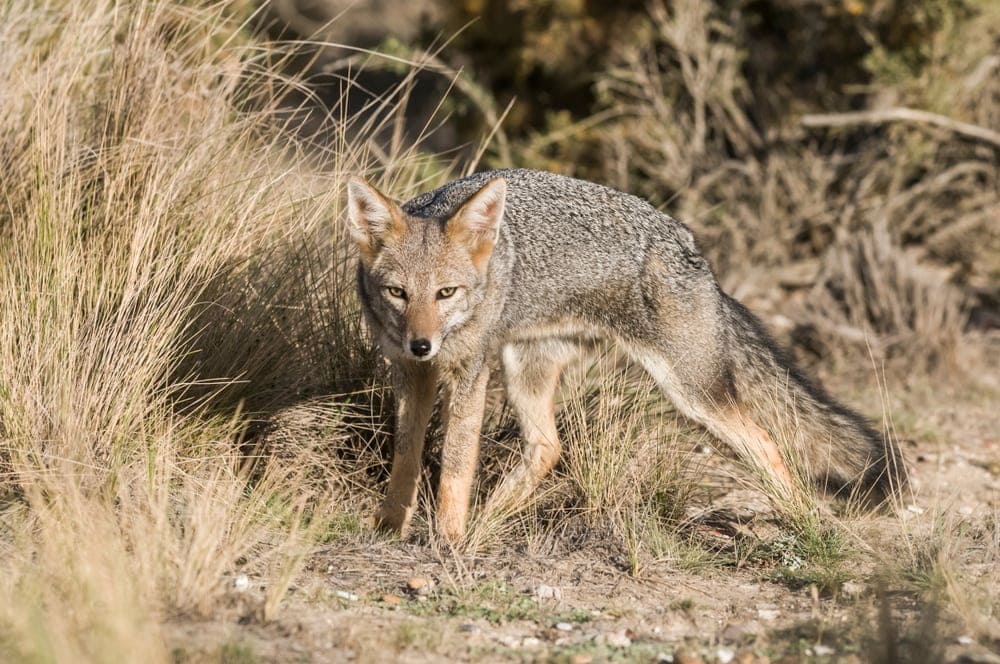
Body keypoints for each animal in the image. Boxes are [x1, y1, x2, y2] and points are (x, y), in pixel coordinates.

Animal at [345, 168, 907, 544]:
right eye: (397, 293)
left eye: (447, 293)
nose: (423, 343)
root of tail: (694, 250)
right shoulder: (409, 373)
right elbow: (406, 454)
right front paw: (389, 528)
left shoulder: (469, 371)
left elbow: (457, 462)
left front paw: (449, 539)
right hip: (527, 368)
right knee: (548, 447)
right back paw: (490, 519)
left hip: (692, 391)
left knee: (766, 440)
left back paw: (803, 519)